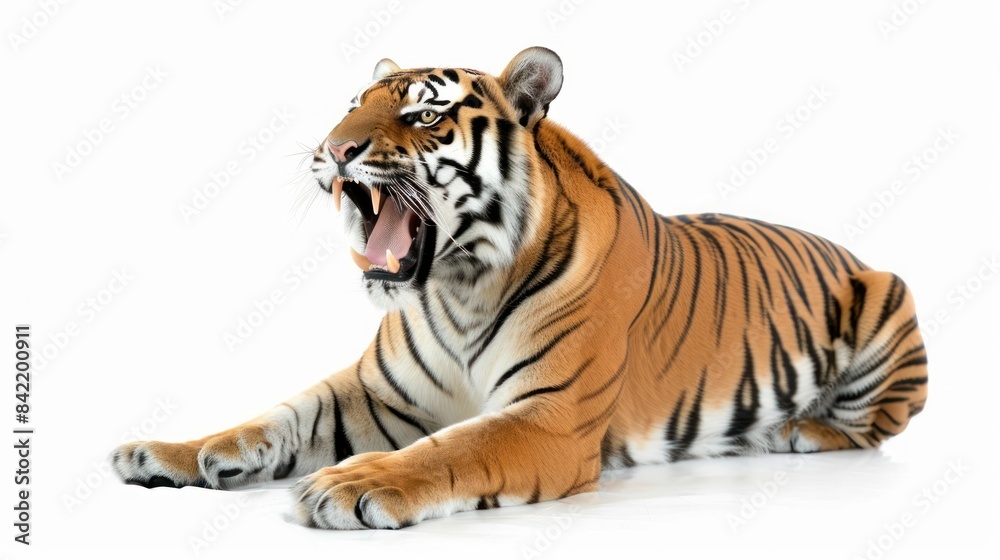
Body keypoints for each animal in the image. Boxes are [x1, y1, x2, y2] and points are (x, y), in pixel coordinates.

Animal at [111, 47, 928, 529]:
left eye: (424, 114)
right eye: (350, 106)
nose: (332, 151)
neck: (455, 284)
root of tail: (841, 244)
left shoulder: (550, 417)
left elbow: (452, 447)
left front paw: (349, 483)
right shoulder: (374, 394)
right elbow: (276, 417)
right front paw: (171, 452)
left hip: (888, 299)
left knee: (873, 423)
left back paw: (792, 432)